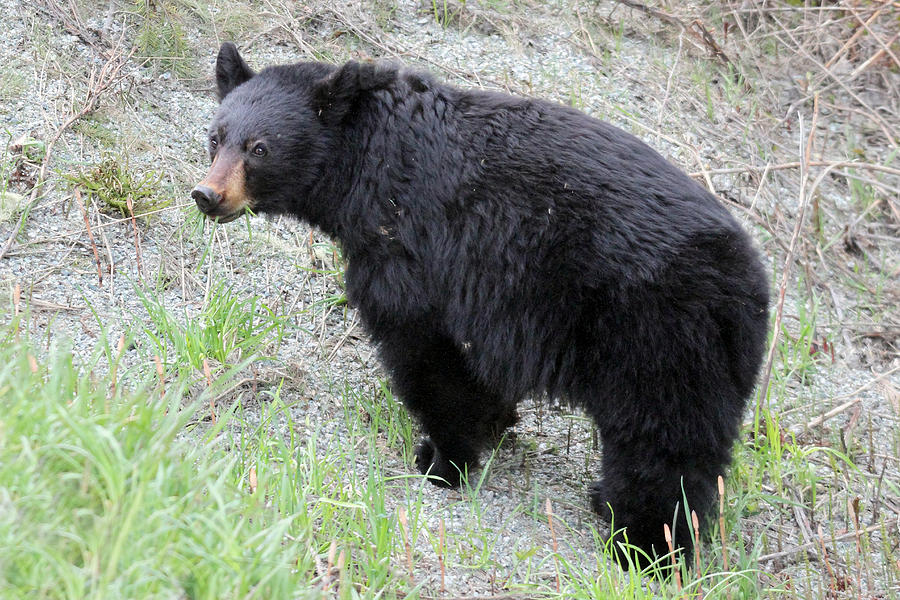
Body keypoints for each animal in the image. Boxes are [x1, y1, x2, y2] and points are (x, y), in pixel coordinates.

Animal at [193, 43, 768, 568]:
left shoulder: (419, 251)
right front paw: (492, 422)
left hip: (658, 335)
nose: (207, 195)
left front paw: (443, 459)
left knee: (663, 444)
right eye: (215, 138)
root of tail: (753, 288)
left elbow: (426, 351)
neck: (369, 164)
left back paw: (647, 547)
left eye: (259, 148)